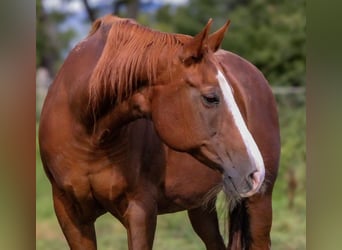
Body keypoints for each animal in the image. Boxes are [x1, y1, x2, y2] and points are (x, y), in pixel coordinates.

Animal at [39, 14, 280, 249]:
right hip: (201, 207)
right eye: (211, 98)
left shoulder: (140, 211)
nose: (255, 171)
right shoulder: (70, 215)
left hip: (259, 204)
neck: (89, 133)